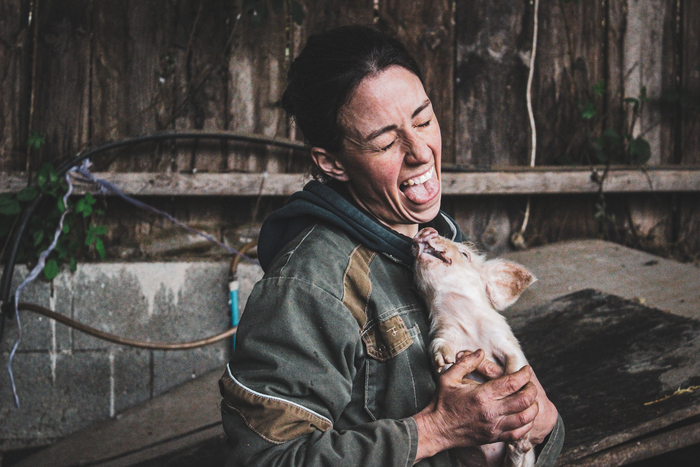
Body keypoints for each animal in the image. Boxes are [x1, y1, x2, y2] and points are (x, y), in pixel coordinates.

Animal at [412, 228, 540, 467]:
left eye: (465, 253)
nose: (427, 230)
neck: (469, 327)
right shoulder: (444, 333)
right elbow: (439, 345)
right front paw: (445, 362)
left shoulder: (505, 340)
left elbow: (516, 366)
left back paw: (519, 446)